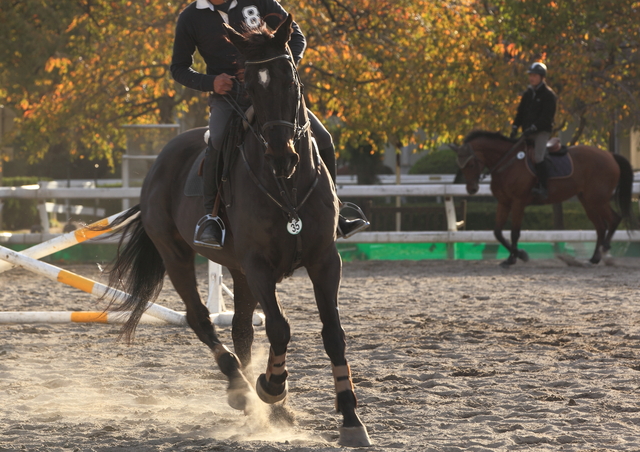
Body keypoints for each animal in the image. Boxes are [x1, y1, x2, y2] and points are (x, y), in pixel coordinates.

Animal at [450, 131, 636, 266]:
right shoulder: (504, 203)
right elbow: (497, 232)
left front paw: (513, 258)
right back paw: (595, 258)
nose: (472, 189)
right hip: (587, 201)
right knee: (601, 226)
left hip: (597, 199)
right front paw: (519, 255)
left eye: (471, 164)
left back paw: (604, 250)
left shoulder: (518, 203)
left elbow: (515, 232)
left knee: (614, 219)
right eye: (460, 165)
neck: (507, 162)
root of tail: (610, 155)